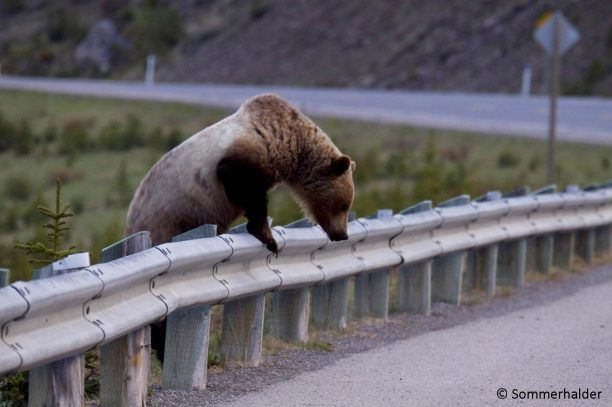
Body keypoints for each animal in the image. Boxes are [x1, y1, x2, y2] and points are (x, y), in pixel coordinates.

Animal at [125, 94, 354, 253]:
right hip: (168, 218)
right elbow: (244, 188)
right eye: (344, 205)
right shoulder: (246, 154)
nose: (342, 235)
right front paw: (268, 238)